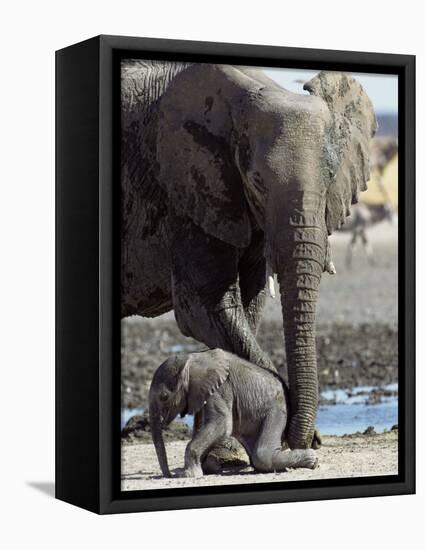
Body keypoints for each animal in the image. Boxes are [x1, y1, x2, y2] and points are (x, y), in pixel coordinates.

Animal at [120, 60, 374, 450]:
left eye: (331, 177)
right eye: (256, 181)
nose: (305, 441)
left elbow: (250, 307)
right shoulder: (186, 192)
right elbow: (206, 308)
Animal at [147, 352, 316, 480]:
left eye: (164, 397)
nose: (168, 476)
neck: (191, 359)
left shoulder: (220, 389)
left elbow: (222, 424)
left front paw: (190, 475)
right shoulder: (200, 394)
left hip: (277, 408)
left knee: (262, 456)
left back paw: (312, 460)